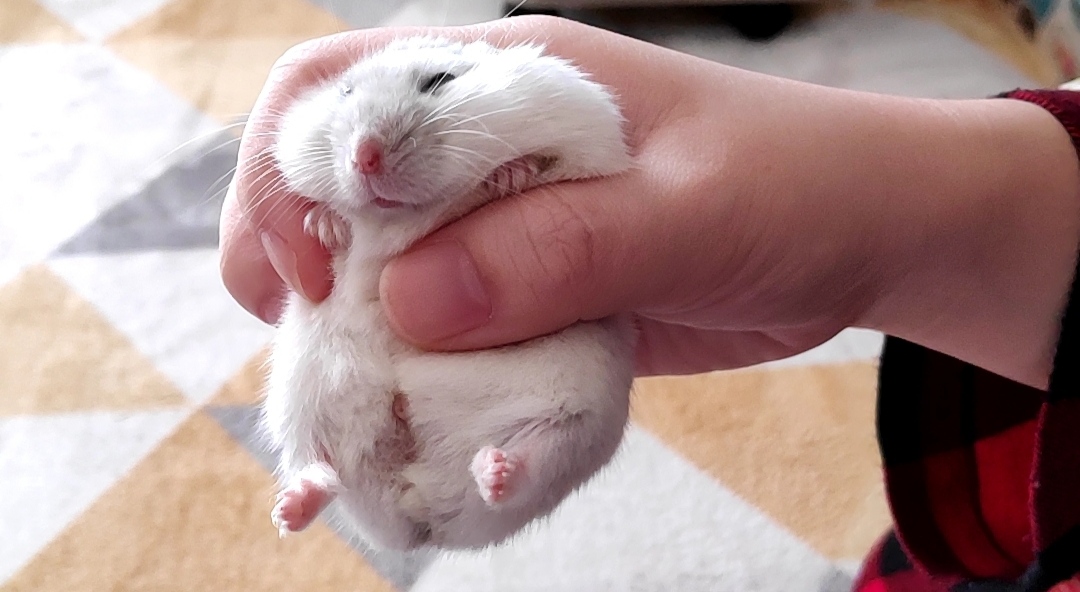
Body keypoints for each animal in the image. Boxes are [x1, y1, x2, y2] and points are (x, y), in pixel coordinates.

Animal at [261, 35, 636, 552]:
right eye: (346, 91)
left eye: (439, 81)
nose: (365, 157)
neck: (400, 218)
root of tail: (422, 517)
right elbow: (333, 222)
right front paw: (324, 224)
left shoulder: (590, 144)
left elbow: (534, 171)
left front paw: (507, 176)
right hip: (297, 400)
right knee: (317, 467)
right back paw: (288, 510)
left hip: (580, 423)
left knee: (527, 466)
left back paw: (495, 469)